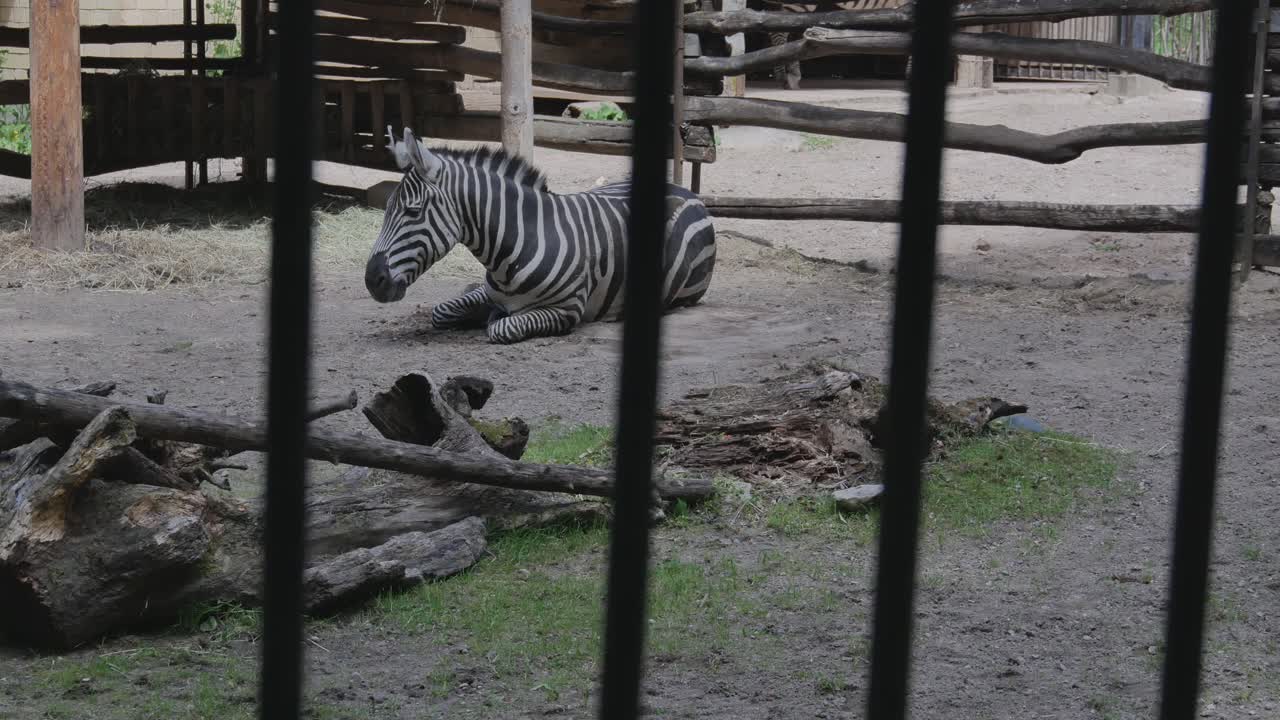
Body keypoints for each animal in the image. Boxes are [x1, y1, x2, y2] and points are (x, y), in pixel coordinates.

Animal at [364, 127, 718, 345]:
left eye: (412, 212)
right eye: (386, 208)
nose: (371, 281)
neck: (511, 251)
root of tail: (686, 191)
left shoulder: (566, 311)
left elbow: (502, 327)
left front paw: (490, 319)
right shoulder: (488, 292)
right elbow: (441, 311)